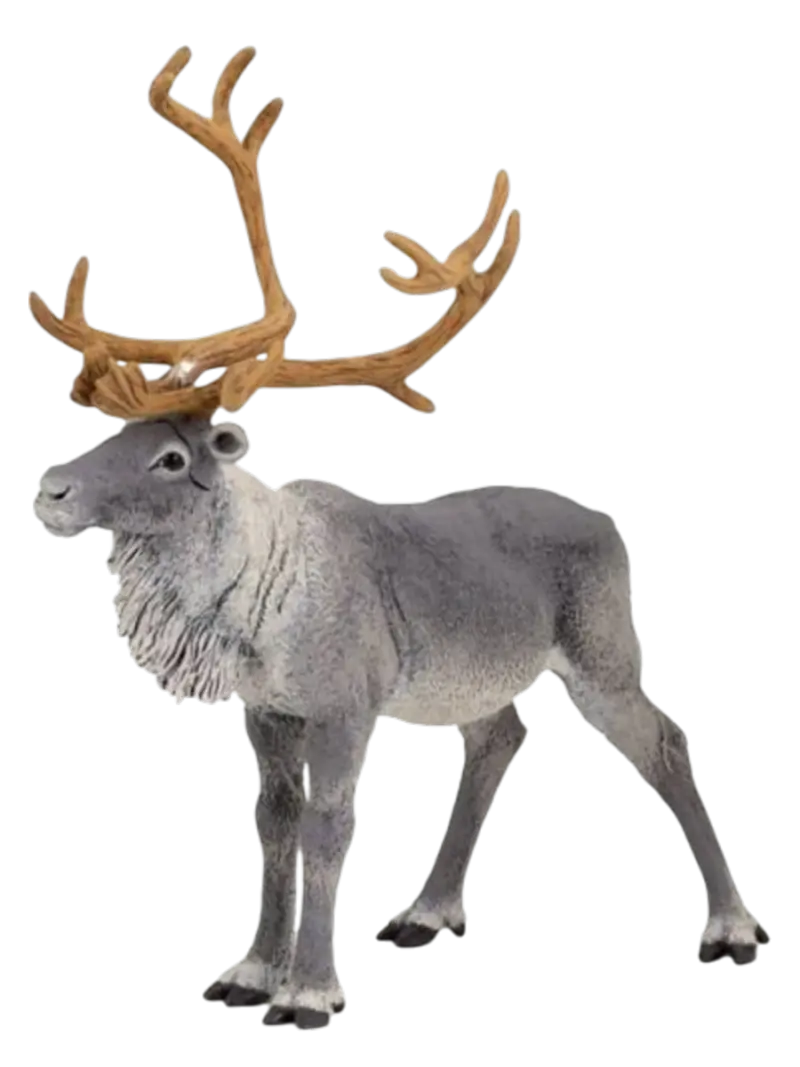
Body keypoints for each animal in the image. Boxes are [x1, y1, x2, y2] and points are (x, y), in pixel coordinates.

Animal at [28, 46, 763, 1032]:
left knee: (666, 740)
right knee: (498, 733)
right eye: (114, 431)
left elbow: (327, 828)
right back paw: (429, 908)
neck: (253, 608)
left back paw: (731, 924)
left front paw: (308, 989)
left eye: (172, 456)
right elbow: (272, 827)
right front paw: (247, 970)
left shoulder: (348, 697)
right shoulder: (267, 709)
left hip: (604, 647)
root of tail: (608, 522)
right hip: (477, 670)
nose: (50, 489)